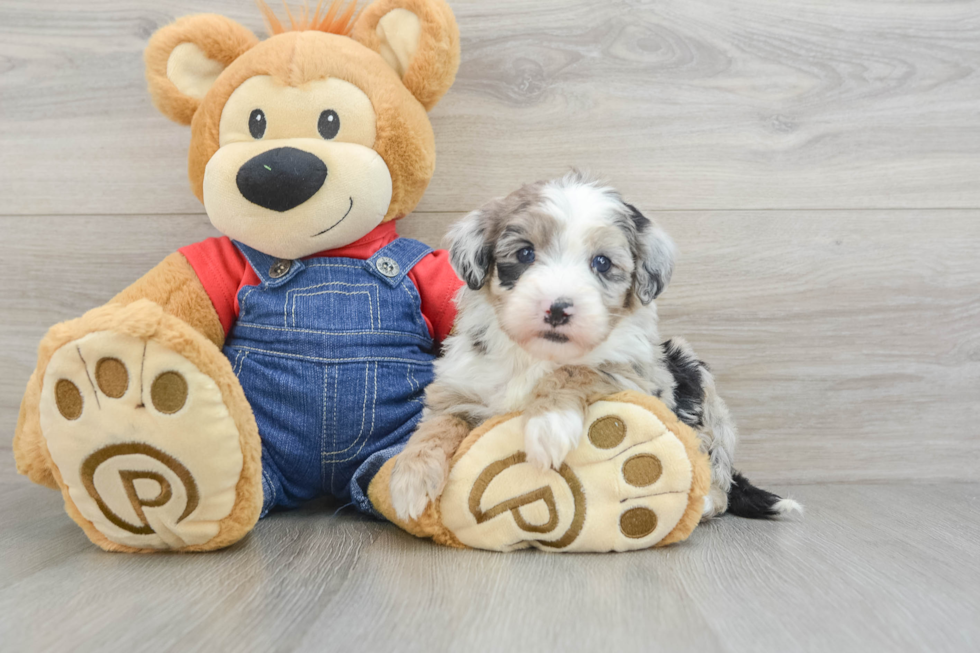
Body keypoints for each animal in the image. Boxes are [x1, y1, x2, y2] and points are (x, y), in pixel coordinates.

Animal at [386, 171, 800, 524]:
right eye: (525, 254)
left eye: (601, 263)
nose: (557, 308)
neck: (537, 355)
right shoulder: (460, 386)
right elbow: (440, 423)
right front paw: (410, 478)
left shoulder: (637, 379)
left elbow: (579, 369)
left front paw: (548, 423)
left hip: (696, 378)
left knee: (719, 473)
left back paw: (707, 500)